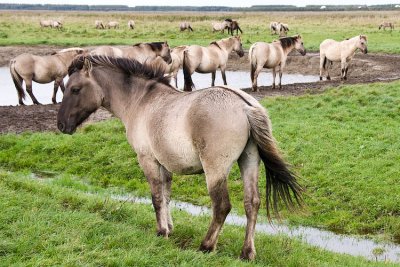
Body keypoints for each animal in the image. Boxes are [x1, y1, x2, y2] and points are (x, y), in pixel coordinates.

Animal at [57, 54, 304, 262]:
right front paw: (169, 228)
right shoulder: (164, 163)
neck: (141, 101)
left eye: (75, 89)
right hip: (249, 161)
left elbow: (156, 197)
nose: (61, 125)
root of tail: (244, 105)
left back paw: (206, 246)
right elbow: (166, 196)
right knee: (252, 203)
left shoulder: (147, 160)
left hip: (215, 170)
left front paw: (161, 232)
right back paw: (247, 253)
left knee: (221, 206)